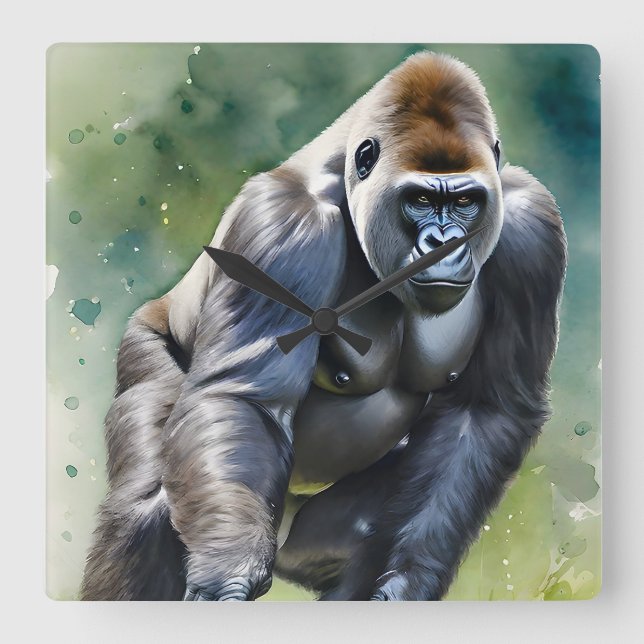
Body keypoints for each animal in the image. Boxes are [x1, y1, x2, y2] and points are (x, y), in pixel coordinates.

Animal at [80, 51, 566, 601]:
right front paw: (227, 577)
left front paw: (409, 580)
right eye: (420, 200)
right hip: (149, 341)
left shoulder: (531, 227)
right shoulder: (284, 226)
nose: (443, 244)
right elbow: (244, 400)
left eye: (465, 202)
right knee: (151, 497)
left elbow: (487, 410)